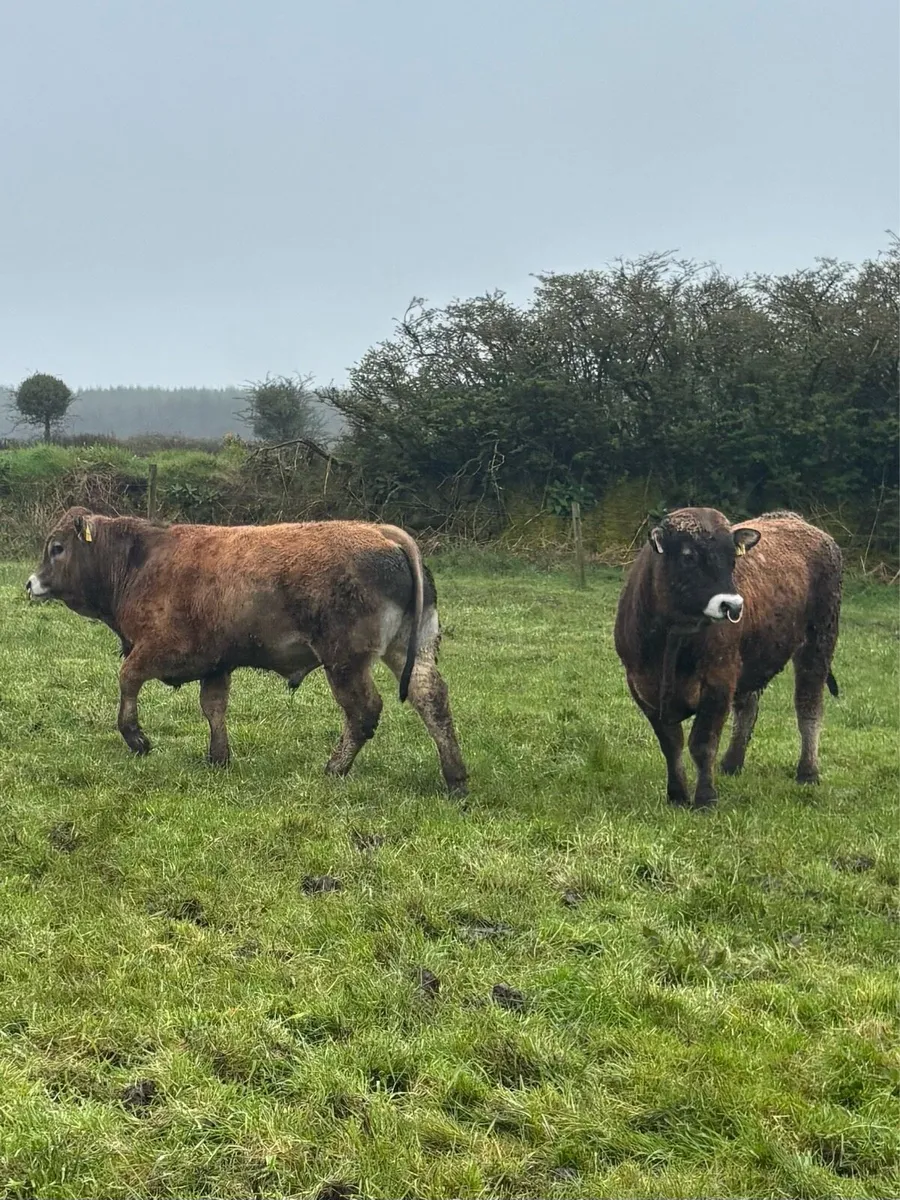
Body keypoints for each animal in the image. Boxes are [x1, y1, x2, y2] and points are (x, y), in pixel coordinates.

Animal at [26, 507, 468, 794]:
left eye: (57, 548)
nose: (31, 583)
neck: (139, 562)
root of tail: (381, 534)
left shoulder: (160, 649)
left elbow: (128, 680)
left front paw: (135, 737)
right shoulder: (216, 663)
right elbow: (214, 708)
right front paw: (218, 756)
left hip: (345, 662)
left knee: (363, 712)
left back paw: (336, 766)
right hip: (410, 649)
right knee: (430, 698)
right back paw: (455, 776)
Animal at [614, 507, 842, 809]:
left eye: (732, 559)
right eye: (688, 556)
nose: (732, 605)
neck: (670, 641)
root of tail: (795, 519)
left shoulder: (718, 682)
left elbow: (702, 743)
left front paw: (705, 798)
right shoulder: (641, 686)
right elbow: (671, 743)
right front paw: (677, 795)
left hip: (819, 639)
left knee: (808, 705)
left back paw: (808, 771)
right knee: (748, 707)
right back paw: (732, 763)